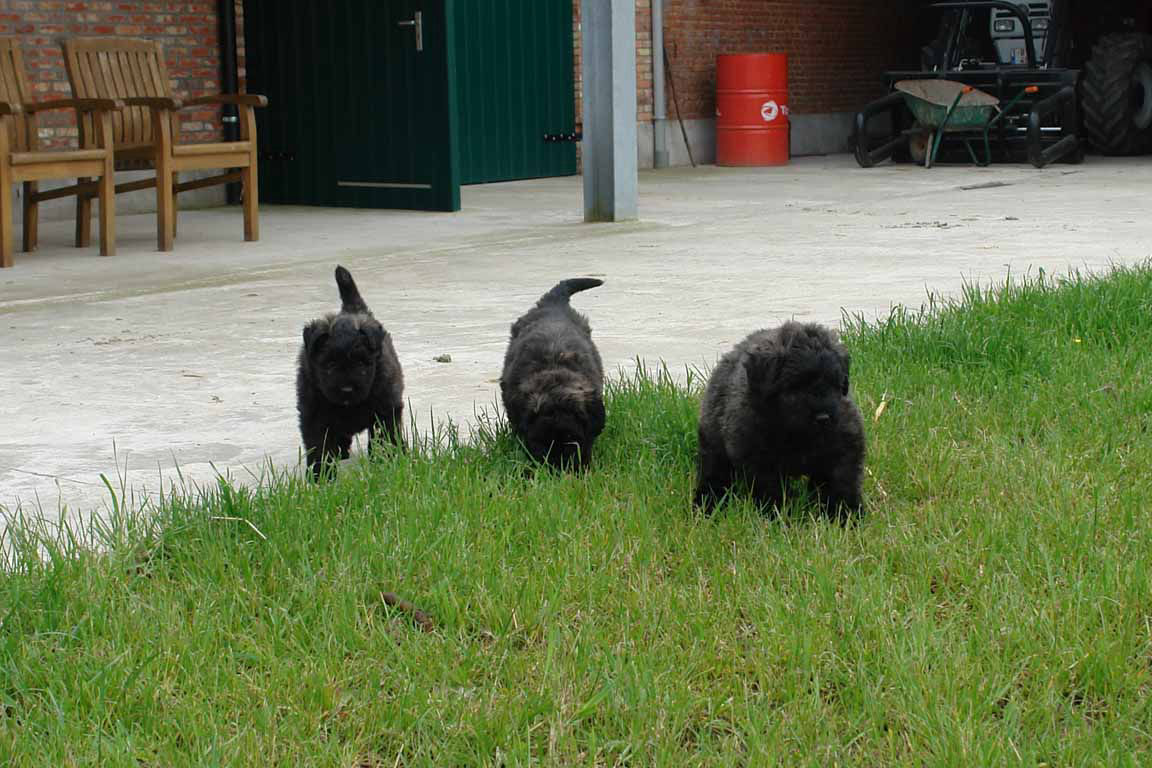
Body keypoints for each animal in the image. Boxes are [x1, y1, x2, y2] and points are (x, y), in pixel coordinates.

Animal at [297, 266, 404, 478]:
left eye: (362, 363)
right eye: (329, 364)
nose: (347, 390)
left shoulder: (385, 410)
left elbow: (384, 439)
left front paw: (385, 464)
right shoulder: (314, 415)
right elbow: (319, 447)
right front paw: (321, 477)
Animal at [694, 322, 864, 519]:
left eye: (833, 383)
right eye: (795, 387)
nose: (823, 418)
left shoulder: (843, 445)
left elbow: (841, 482)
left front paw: (845, 515)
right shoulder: (757, 455)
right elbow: (770, 489)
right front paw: (777, 515)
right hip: (714, 445)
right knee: (714, 475)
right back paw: (707, 504)